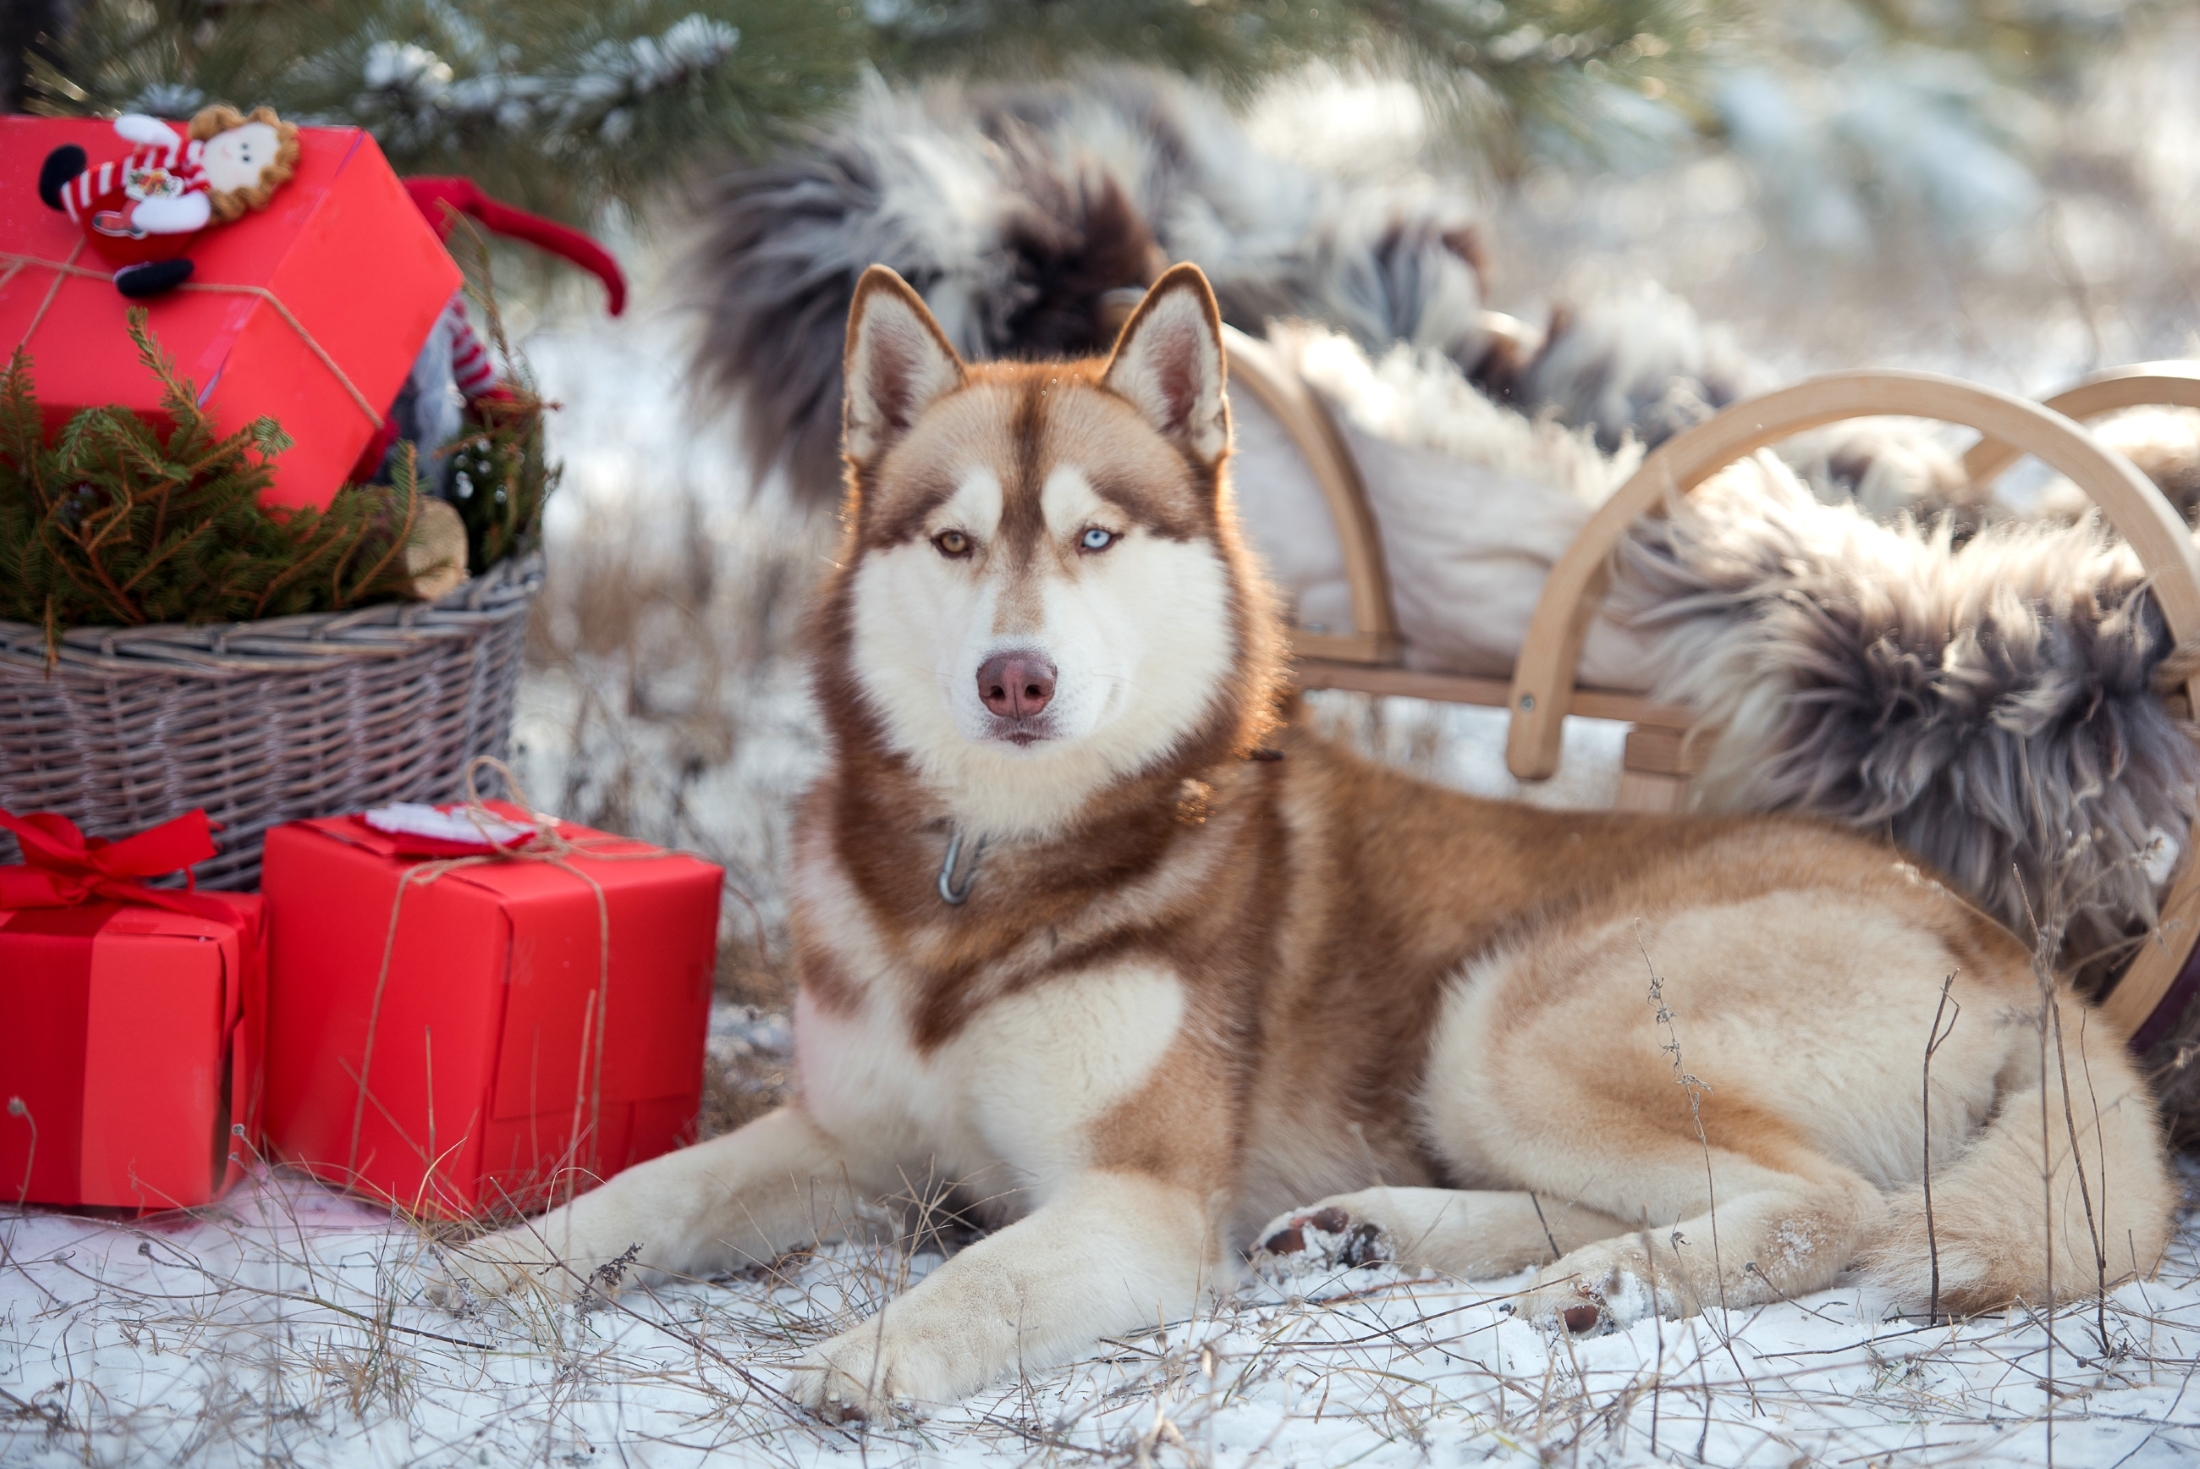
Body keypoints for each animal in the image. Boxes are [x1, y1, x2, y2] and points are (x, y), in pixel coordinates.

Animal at [437, 260, 2173, 1407]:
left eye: (1093, 535)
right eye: (953, 540)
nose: (1016, 677)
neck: (989, 877)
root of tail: (2013, 941)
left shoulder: (1136, 1199)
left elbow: (988, 1273)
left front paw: (866, 1356)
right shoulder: (852, 1139)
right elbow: (658, 1188)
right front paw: (511, 1265)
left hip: (1516, 1016)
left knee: (1836, 1206)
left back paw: (1610, 1284)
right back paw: (1383, 1233)